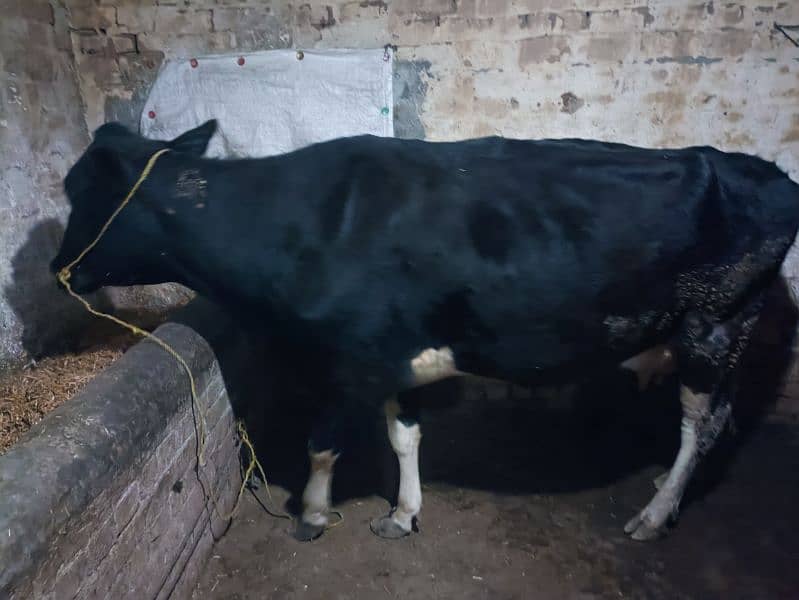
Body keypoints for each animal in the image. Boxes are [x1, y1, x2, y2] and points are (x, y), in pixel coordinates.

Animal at [51, 122, 799, 544]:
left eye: (77, 190)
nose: (60, 271)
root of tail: (764, 170)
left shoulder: (350, 358)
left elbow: (322, 443)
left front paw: (313, 514)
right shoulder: (393, 356)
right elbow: (402, 436)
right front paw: (404, 513)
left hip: (716, 328)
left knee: (701, 426)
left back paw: (654, 513)